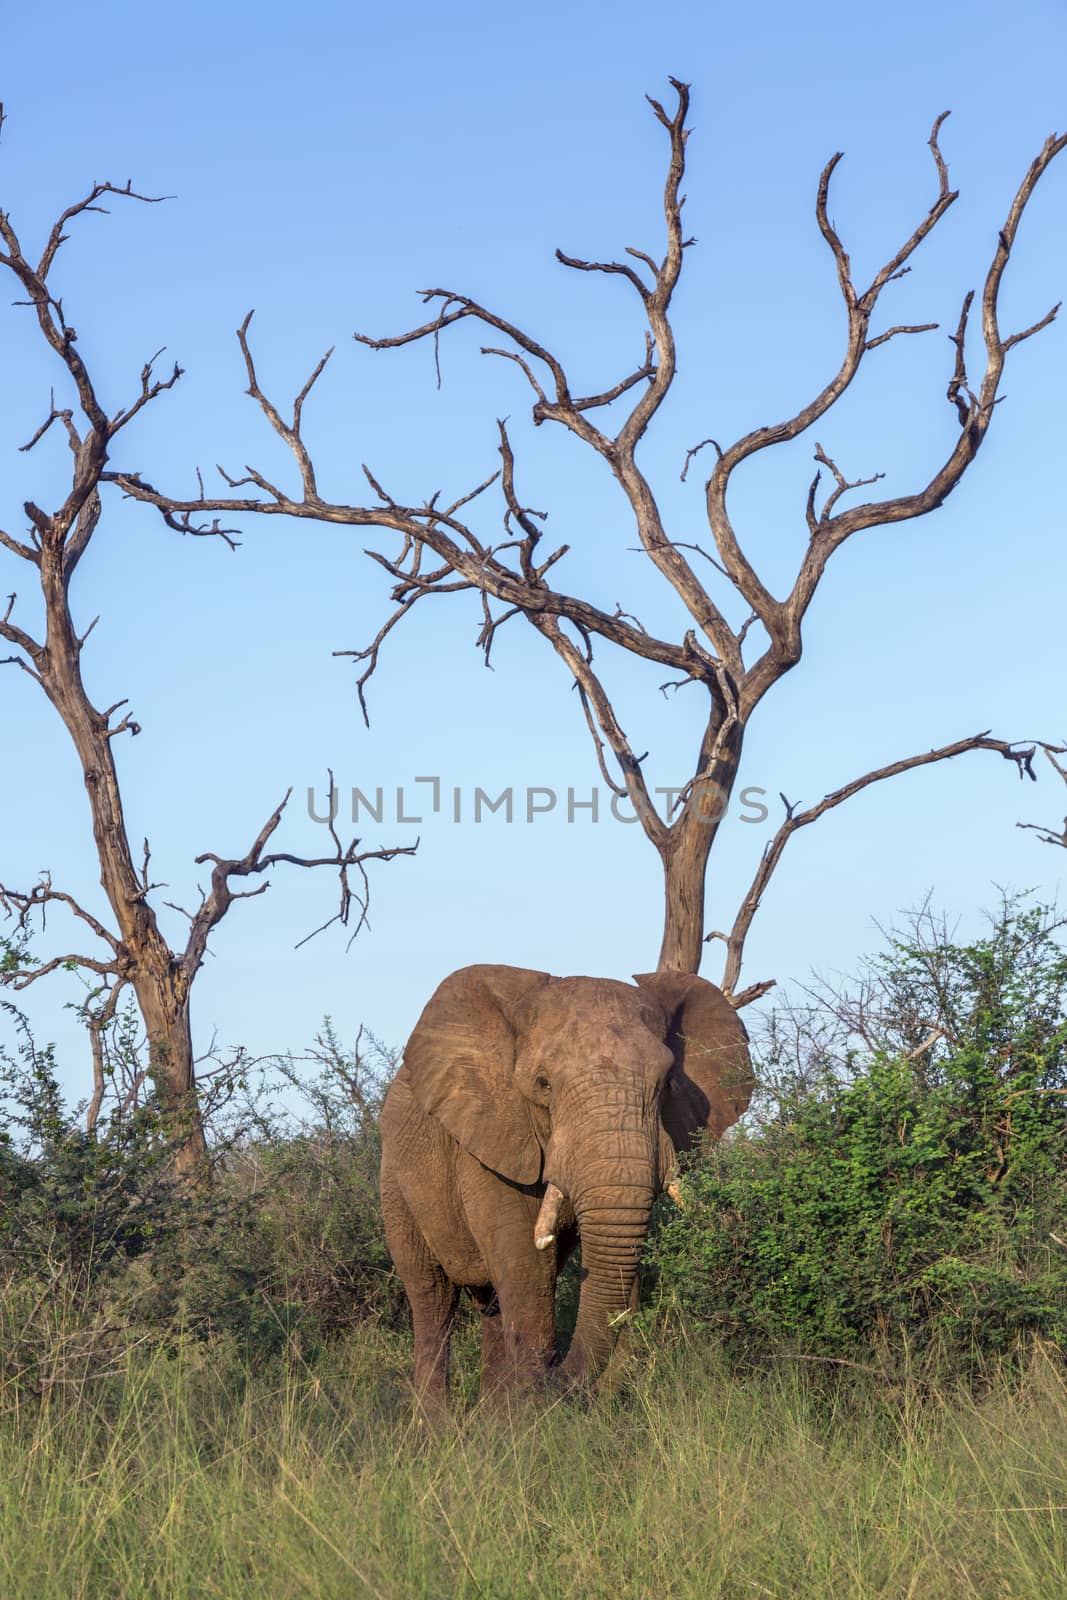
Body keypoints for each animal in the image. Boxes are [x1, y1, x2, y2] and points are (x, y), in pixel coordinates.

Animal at [379, 960, 755, 1401]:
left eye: (666, 1083)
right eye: (543, 1084)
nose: (555, 1374)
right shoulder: (490, 1142)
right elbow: (526, 1266)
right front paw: (531, 1409)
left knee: (492, 1305)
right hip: (395, 1182)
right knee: (432, 1298)